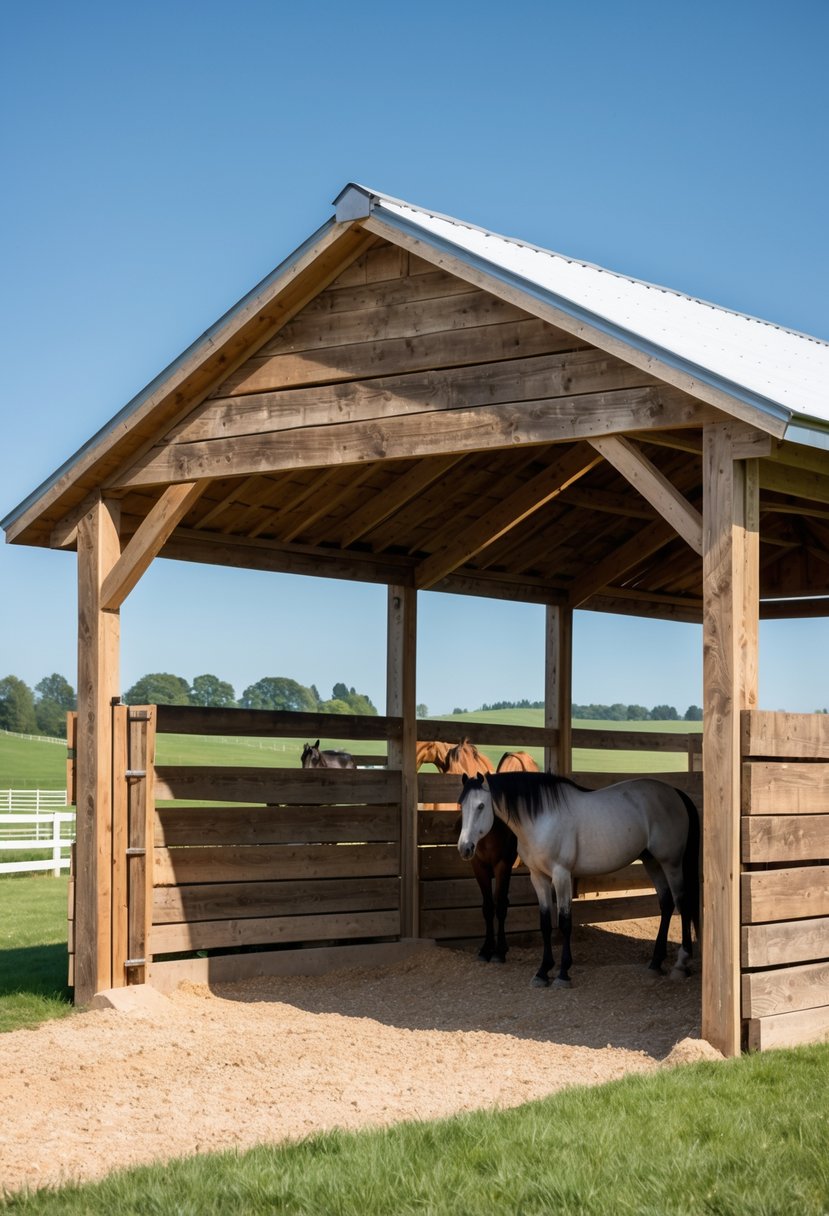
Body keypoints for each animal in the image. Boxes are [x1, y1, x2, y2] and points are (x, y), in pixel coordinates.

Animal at [457, 770, 700, 988]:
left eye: (480, 806)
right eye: (461, 805)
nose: (465, 848)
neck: (541, 819)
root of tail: (675, 793)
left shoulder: (561, 875)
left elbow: (565, 922)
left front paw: (563, 974)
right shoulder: (538, 877)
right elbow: (545, 923)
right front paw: (542, 972)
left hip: (671, 863)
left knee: (683, 904)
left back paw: (681, 964)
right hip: (652, 862)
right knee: (666, 904)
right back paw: (655, 963)